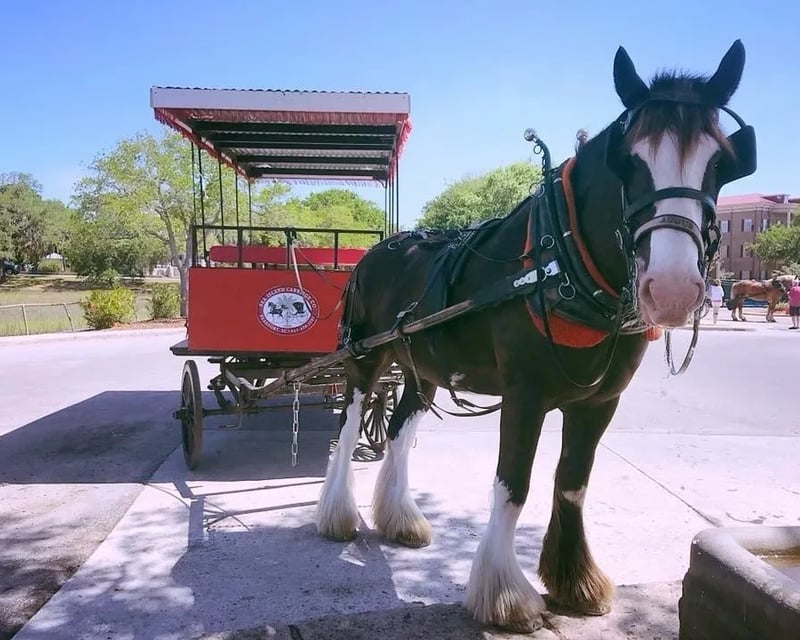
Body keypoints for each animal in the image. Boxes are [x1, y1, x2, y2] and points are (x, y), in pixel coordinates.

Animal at [315, 41, 756, 633]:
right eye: (628, 160)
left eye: (721, 162)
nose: (673, 287)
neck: (562, 263)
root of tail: (376, 250)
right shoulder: (524, 395)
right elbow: (514, 485)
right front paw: (504, 596)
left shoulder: (600, 402)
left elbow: (572, 482)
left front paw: (575, 581)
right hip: (365, 358)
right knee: (347, 425)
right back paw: (337, 514)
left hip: (419, 366)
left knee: (402, 429)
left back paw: (401, 519)